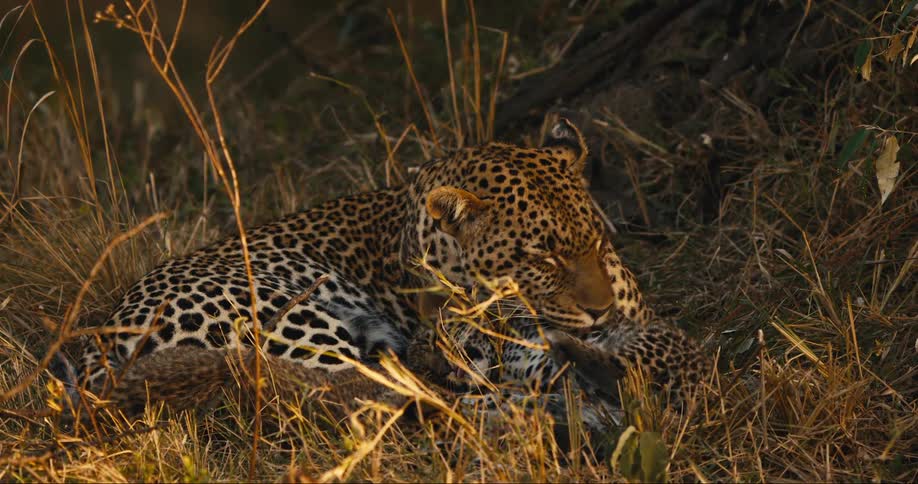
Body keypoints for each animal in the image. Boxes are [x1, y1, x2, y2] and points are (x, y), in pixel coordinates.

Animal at [52, 118, 658, 408]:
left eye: (597, 242)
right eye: (541, 256)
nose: (602, 312)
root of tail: (102, 338)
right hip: (291, 320)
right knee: (362, 392)